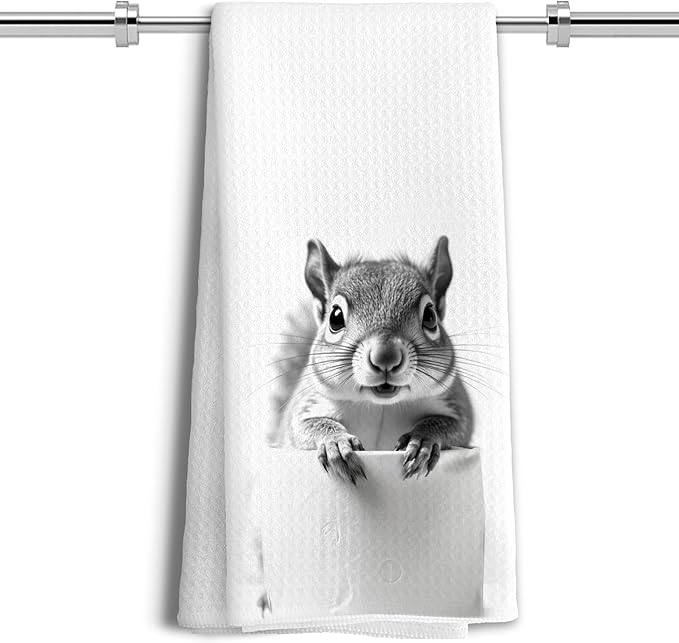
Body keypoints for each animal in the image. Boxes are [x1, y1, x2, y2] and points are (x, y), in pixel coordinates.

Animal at [268, 236, 473, 482]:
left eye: (431, 316)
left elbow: (455, 425)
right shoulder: (305, 404)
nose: (385, 356)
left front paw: (423, 440)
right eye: (335, 317)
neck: (379, 406)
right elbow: (302, 426)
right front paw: (336, 443)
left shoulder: (454, 403)